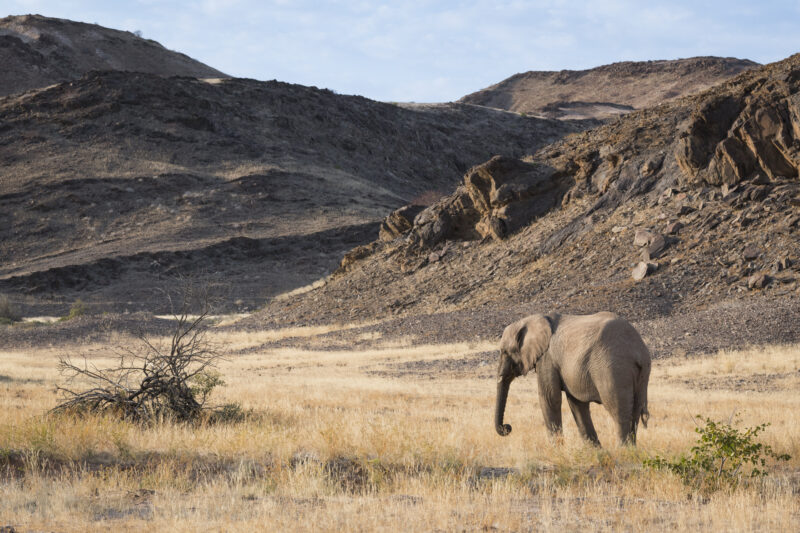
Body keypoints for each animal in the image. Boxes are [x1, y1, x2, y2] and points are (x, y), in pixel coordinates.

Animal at [494, 312, 648, 444]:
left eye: (504, 352)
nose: (507, 427)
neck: (532, 319)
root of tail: (637, 350)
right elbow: (576, 404)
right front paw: (596, 452)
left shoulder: (547, 359)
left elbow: (550, 398)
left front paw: (557, 450)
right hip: (642, 374)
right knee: (635, 413)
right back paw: (632, 450)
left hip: (613, 368)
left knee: (618, 411)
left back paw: (623, 451)